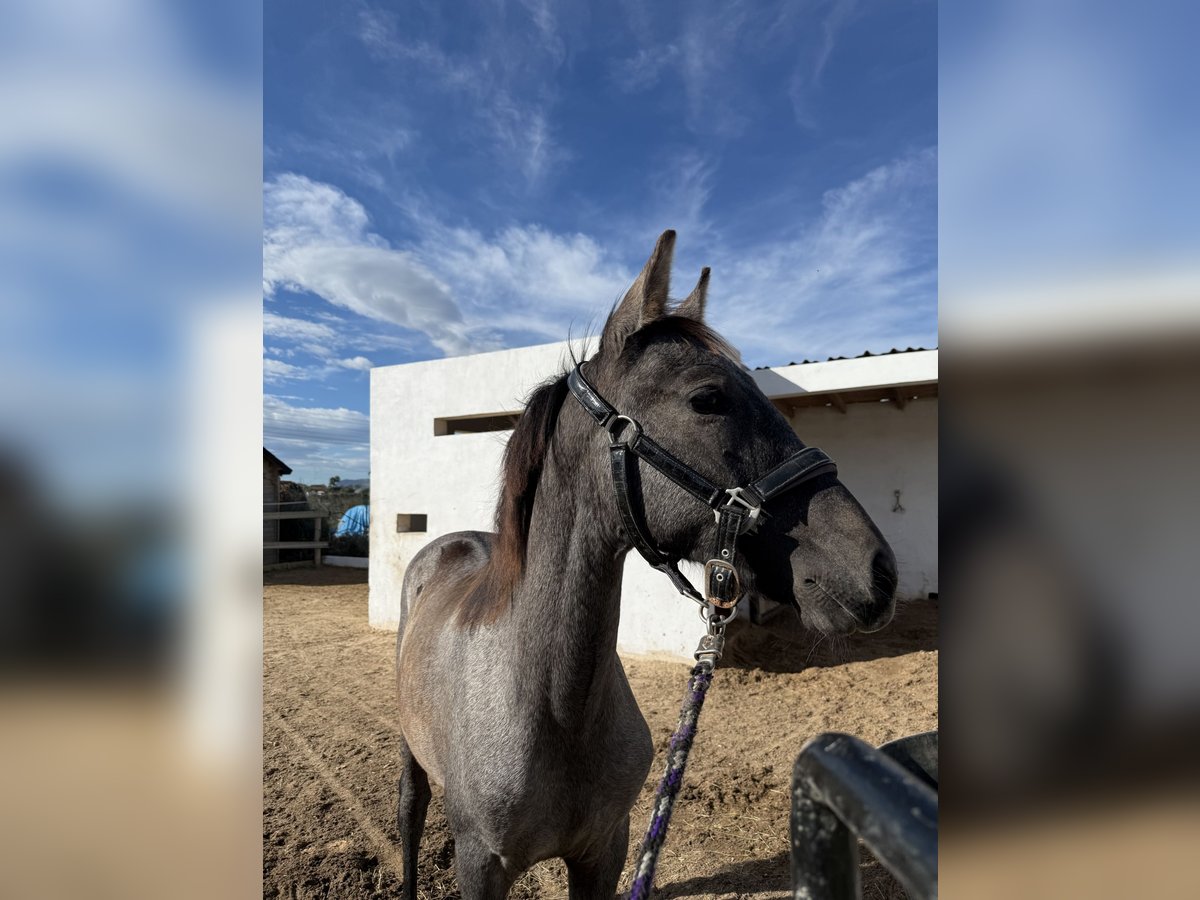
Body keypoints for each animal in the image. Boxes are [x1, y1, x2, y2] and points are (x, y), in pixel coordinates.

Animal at [393, 230, 898, 899]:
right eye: (708, 398)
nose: (879, 571)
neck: (556, 711)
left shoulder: (605, 851)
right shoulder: (480, 863)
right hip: (410, 754)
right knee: (409, 813)